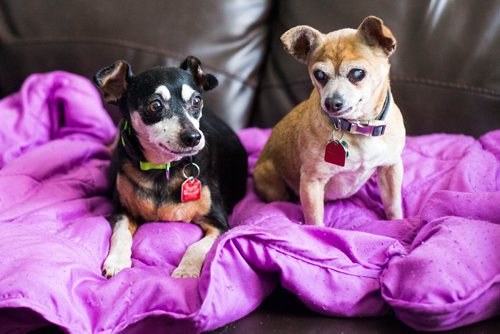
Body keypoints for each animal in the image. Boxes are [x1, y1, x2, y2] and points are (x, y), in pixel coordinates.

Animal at [93, 56, 246, 278]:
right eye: (155, 105)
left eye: (197, 101)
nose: (193, 137)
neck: (163, 167)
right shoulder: (122, 211)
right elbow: (121, 234)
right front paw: (117, 261)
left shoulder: (219, 224)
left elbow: (197, 247)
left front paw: (186, 270)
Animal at [254, 15, 406, 224]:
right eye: (319, 75)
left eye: (357, 73)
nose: (332, 102)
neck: (358, 127)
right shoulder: (312, 181)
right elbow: (315, 218)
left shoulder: (391, 168)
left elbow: (393, 203)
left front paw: (397, 222)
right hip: (272, 183)